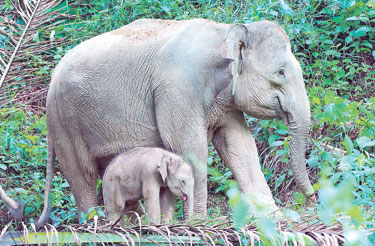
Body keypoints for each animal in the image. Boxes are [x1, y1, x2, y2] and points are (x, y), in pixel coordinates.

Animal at [37, 18, 314, 225]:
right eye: (280, 73)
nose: (312, 199)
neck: (223, 31)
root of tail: (53, 74)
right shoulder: (177, 92)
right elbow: (191, 149)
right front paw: (199, 224)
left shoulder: (226, 104)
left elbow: (240, 146)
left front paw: (276, 222)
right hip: (64, 121)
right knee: (82, 175)